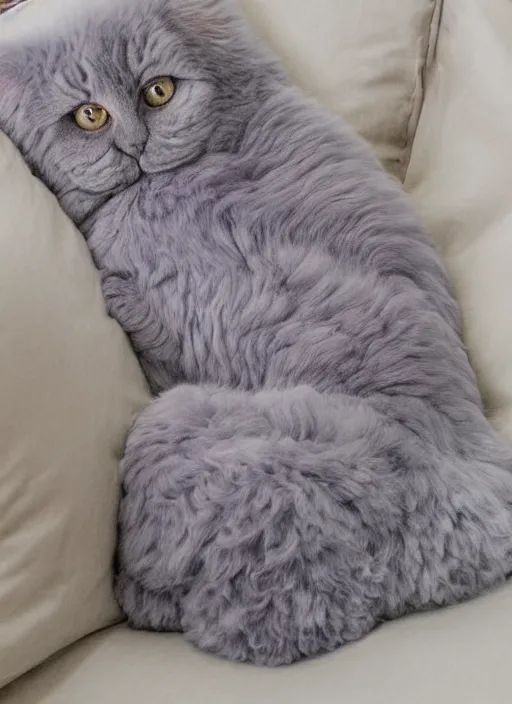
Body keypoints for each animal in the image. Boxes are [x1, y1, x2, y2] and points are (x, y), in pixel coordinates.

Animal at [1, 0, 512, 664]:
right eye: (89, 115)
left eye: (158, 91)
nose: (134, 144)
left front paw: (117, 292)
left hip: (188, 434)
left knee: (245, 617)